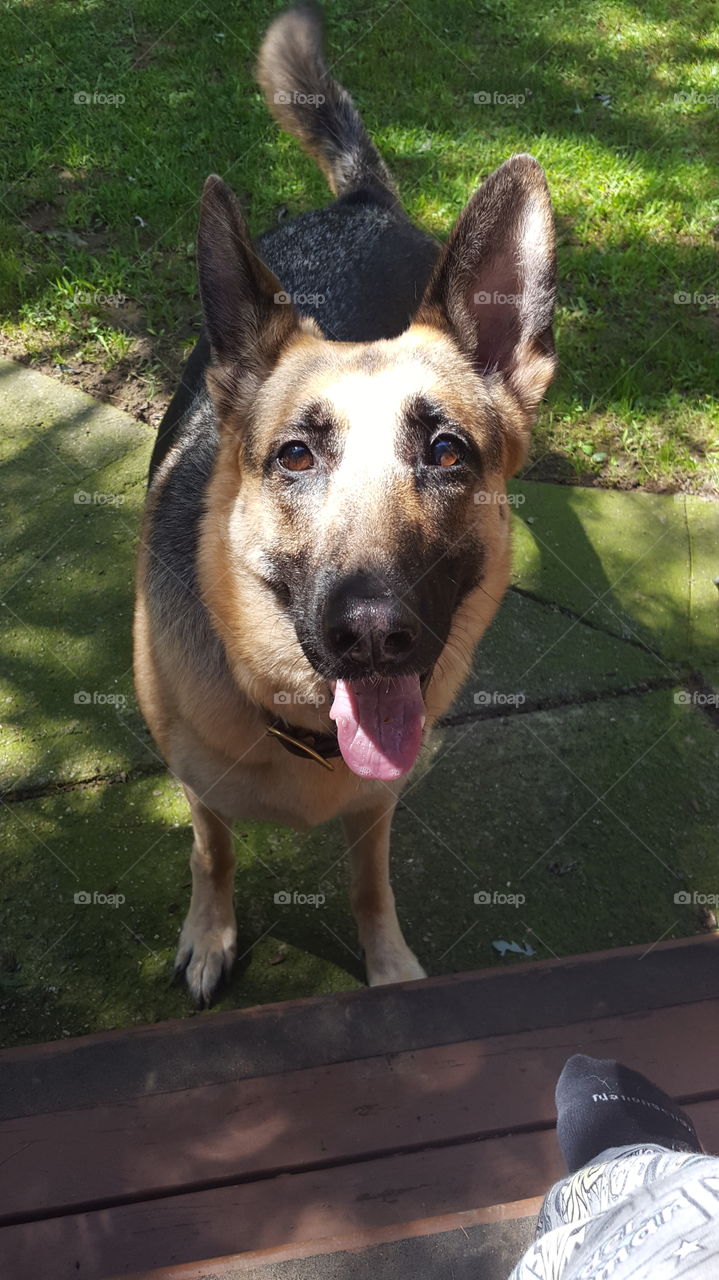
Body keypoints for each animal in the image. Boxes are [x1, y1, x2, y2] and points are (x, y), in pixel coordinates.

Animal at [136, 5, 557, 1003]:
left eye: (447, 452)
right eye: (294, 456)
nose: (371, 633)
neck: (302, 725)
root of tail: (363, 206)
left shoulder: (378, 803)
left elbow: (370, 882)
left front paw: (388, 964)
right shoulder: (198, 790)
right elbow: (212, 855)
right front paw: (210, 934)